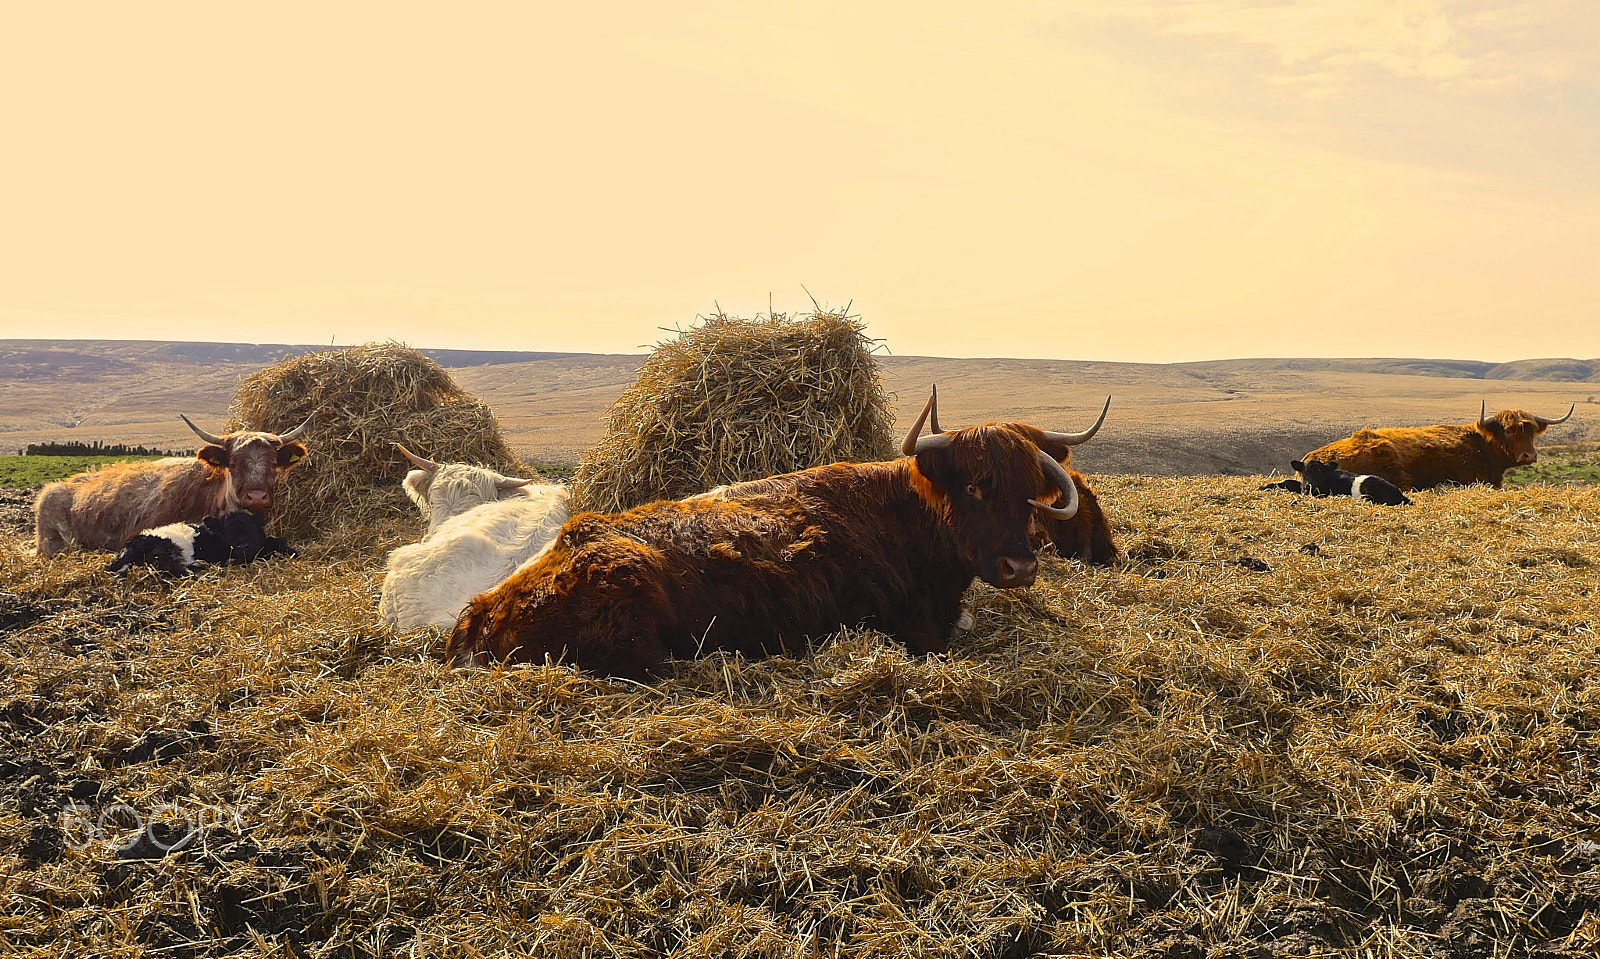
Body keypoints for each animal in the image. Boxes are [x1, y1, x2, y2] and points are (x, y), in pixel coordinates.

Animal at [104, 509, 296, 576]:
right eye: (227, 531)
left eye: (251, 527)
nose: (242, 547)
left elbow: (278, 541)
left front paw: (293, 551)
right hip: (167, 551)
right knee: (178, 570)